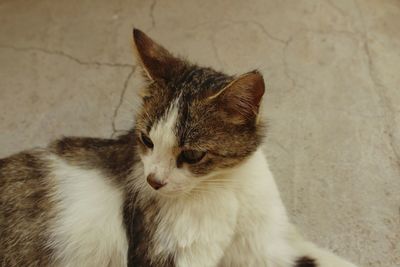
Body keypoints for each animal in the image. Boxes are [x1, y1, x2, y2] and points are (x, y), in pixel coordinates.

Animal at [0, 29, 358, 267]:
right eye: (146, 140)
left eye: (192, 154)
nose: (154, 181)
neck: (222, 186)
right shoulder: (161, 252)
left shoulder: (267, 246)